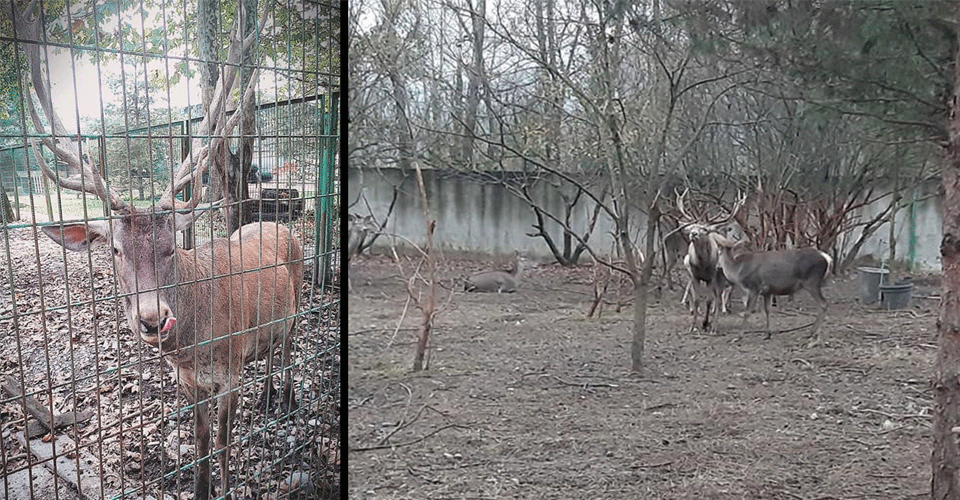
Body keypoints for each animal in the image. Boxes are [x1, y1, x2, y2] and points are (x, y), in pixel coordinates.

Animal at [38, 152, 300, 500]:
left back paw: (287, 401)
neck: (193, 349)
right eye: (116, 249)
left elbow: (222, 443)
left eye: (172, 247)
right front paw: (202, 490)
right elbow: (202, 441)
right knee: (269, 349)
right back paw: (265, 395)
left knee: (287, 349)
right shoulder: (188, 380)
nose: (153, 318)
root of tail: (279, 224)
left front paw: (226, 489)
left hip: (297, 304)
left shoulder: (230, 372)